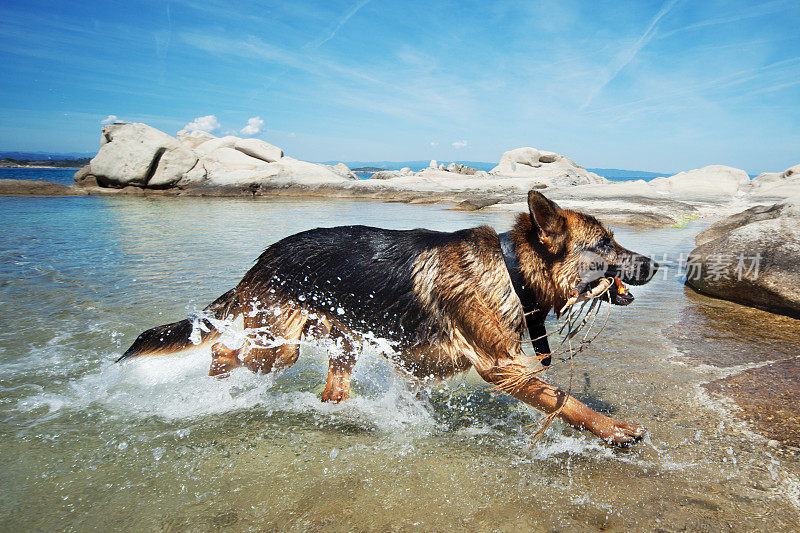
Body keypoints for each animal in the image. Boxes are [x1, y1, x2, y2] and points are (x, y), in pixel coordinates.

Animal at [119, 191, 656, 444]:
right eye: (605, 244)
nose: (652, 264)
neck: (511, 267)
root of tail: (264, 259)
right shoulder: (501, 366)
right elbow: (566, 403)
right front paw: (614, 430)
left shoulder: (420, 362)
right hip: (280, 345)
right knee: (223, 349)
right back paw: (215, 380)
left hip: (340, 340)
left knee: (331, 390)